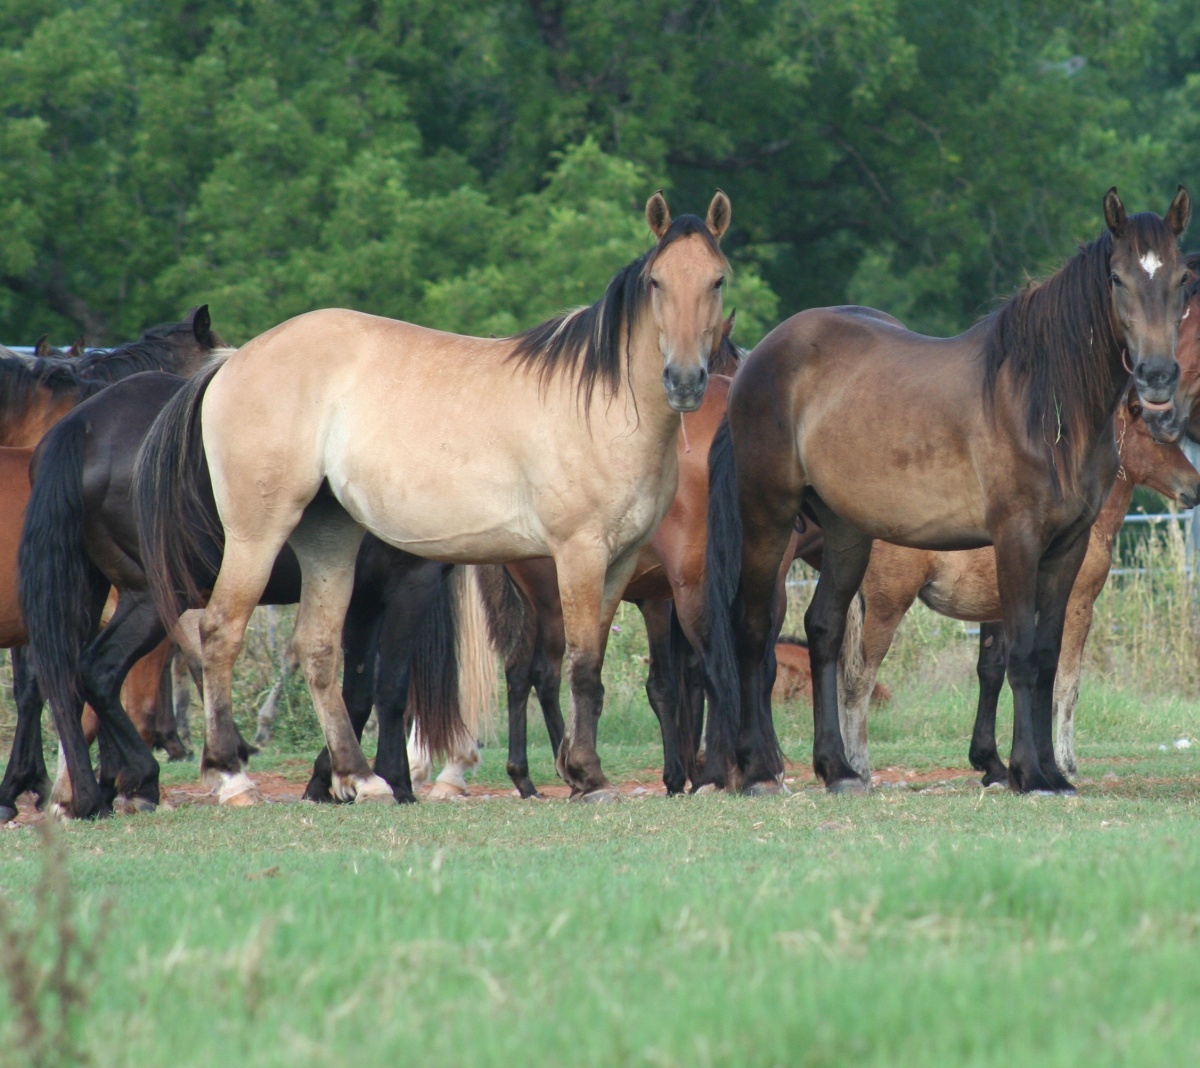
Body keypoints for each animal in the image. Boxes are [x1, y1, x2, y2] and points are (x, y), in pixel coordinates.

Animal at [135, 191, 731, 805]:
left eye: (718, 280)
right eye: (657, 281)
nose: (686, 381)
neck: (603, 403)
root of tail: (231, 361)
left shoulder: (622, 561)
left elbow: (590, 671)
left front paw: (581, 771)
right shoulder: (579, 554)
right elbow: (583, 664)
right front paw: (588, 775)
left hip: (328, 538)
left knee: (318, 647)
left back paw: (360, 776)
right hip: (257, 535)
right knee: (219, 633)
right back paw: (233, 774)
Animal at [704, 187, 1191, 795]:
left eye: (1182, 278)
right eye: (1118, 278)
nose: (1157, 376)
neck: (1042, 403)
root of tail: (754, 363)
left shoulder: (1067, 547)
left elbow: (1046, 657)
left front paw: (1050, 772)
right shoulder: (1016, 540)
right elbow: (1023, 657)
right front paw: (1028, 771)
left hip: (846, 533)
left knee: (824, 630)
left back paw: (838, 769)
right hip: (767, 516)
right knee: (751, 628)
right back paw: (759, 770)